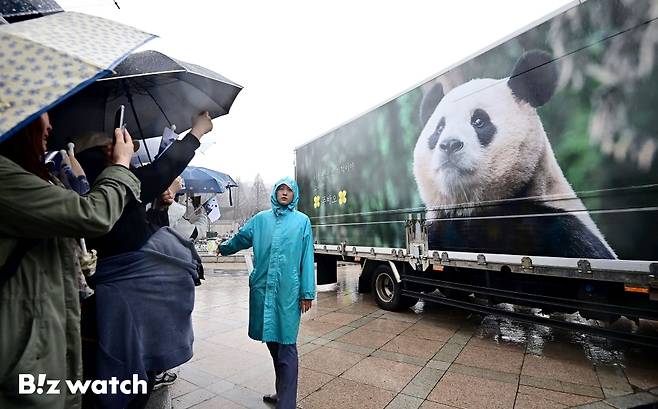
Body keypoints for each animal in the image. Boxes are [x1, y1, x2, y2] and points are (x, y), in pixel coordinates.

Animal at [412, 50, 612, 258]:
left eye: (479, 121)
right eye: (439, 128)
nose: (450, 144)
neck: (474, 208)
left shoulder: (557, 227)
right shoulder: (440, 229)